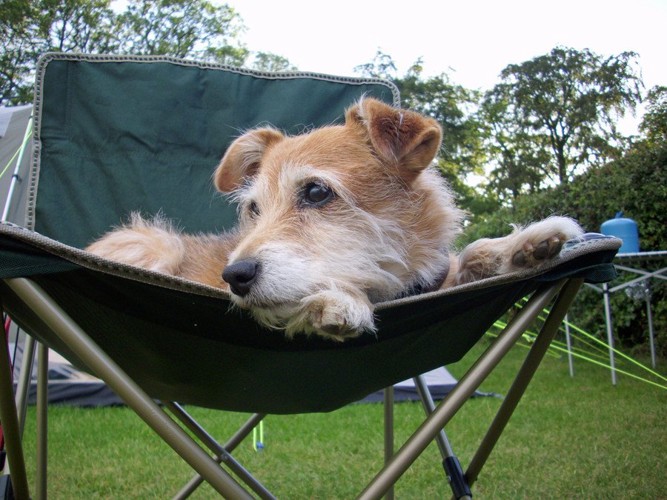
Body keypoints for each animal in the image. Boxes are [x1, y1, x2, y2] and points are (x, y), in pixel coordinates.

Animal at [87, 97, 584, 340]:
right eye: (253, 209)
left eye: (316, 192)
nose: (234, 275)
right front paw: (335, 300)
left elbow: (471, 255)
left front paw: (524, 245)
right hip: (157, 243)